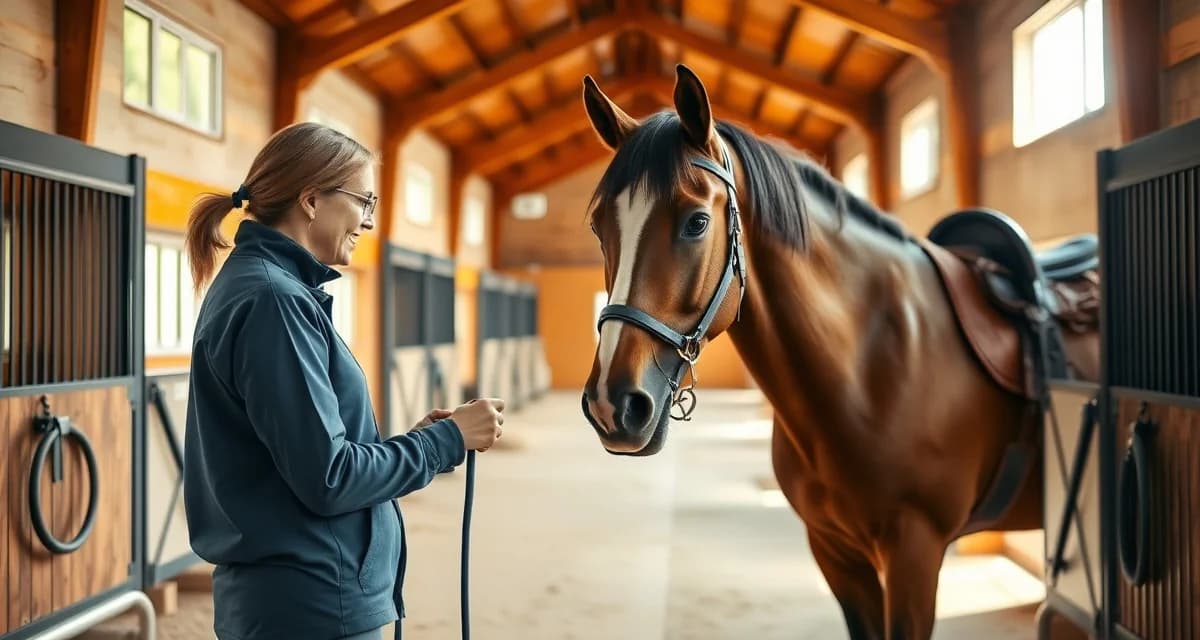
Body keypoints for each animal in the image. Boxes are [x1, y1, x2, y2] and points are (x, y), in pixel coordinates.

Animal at [578, 64, 1100, 640]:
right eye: (599, 225)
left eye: (696, 221)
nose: (612, 404)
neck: (869, 370)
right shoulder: (835, 553)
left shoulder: (914, 556)